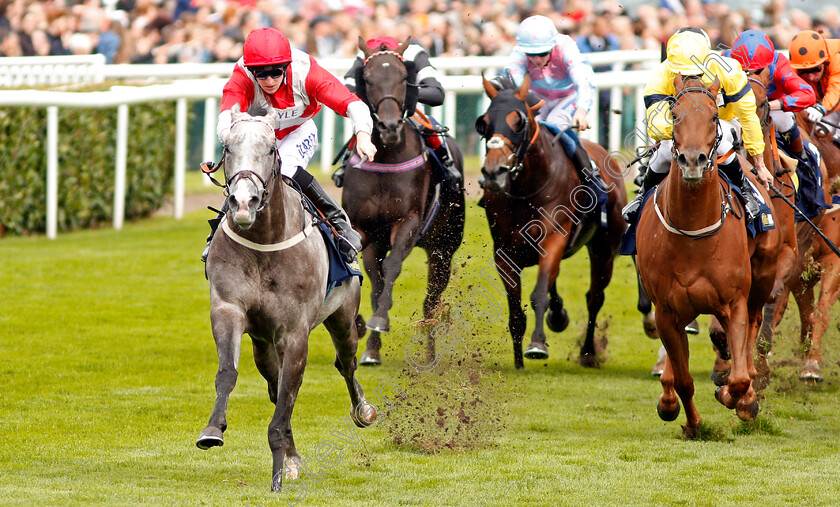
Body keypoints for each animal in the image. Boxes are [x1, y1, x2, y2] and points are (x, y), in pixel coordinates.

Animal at [195, 106, 376, 492]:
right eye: (227, 149)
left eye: (269, 150)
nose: (242, 202)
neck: (263, 242)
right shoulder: (229, 310)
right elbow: (229, 373)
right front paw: (214, 429)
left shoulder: (295, 333)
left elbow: (288, 397)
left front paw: (279, 473)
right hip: (262, 342)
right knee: (273, 381)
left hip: (342, 318)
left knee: (347, 363)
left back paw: (363, 410)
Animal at [344, 37, 470, 368]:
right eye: (368, 78)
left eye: (403, 78)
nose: (389, 127)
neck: (387, 156)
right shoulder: (364, 229)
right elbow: (368, 275)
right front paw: (366, 334)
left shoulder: (408, 222)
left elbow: (392, 266)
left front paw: (378, 321)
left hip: (443, 248)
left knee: (431, 301)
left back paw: (429, 352)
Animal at [476, 74, 628, 370]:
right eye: (484, 122)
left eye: (518, 121)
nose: (494, 171)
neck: (526, 189)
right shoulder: (504, 252)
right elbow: (515, 309)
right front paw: (518, 361)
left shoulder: (554, 237)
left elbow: (538, 295)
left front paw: (536, 345)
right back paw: (559, 316)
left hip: (605, 249)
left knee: (594, 297)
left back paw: (588, 353)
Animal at [636, 74, 780, 436]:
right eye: (674, 116)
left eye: (714, 116)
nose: (692, 160)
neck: (693, 232)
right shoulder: (666, 312)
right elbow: (684, 380)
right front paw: (690, 422)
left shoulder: (734, 302)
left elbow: (739, 377)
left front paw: (735, 396)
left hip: (763, 278)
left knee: (753, 330)